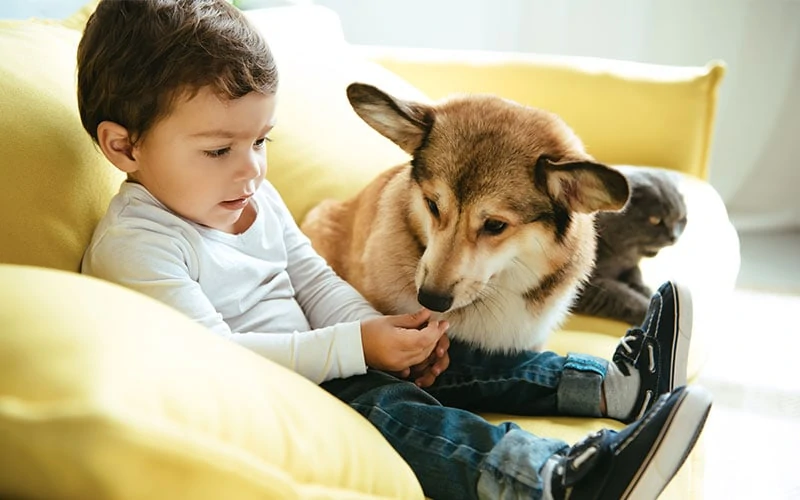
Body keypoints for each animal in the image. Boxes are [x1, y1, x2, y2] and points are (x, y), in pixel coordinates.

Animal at [576, 166, 688, 326]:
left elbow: (636, 272)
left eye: (681, 219)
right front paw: (652, 310)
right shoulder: (588, 286)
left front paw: (644, 288)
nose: (673, 237)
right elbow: (625, 297)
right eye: (655, 220)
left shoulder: (630, 264)